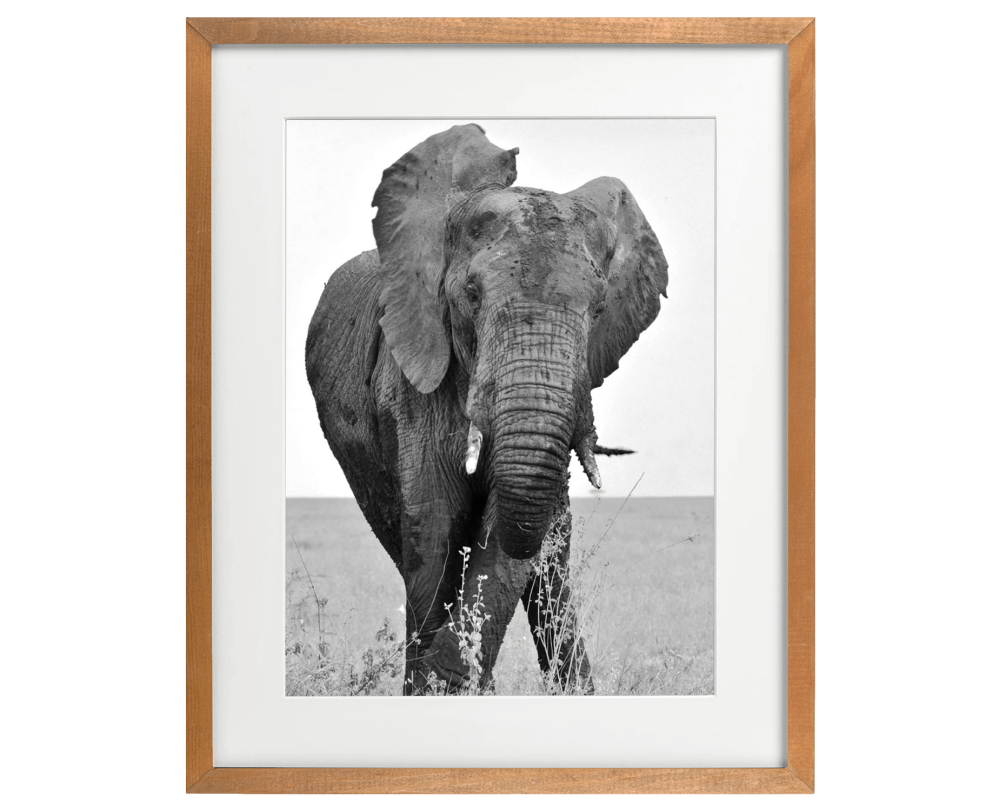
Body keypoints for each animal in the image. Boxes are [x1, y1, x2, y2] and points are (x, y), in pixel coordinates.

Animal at [306, 124, 668, 694]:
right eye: (472, 295)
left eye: (599, 308)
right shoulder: (413, 381)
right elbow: (434, 523)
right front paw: (433, 687)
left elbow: (507, 524)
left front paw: (445, 681)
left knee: (550, 562)